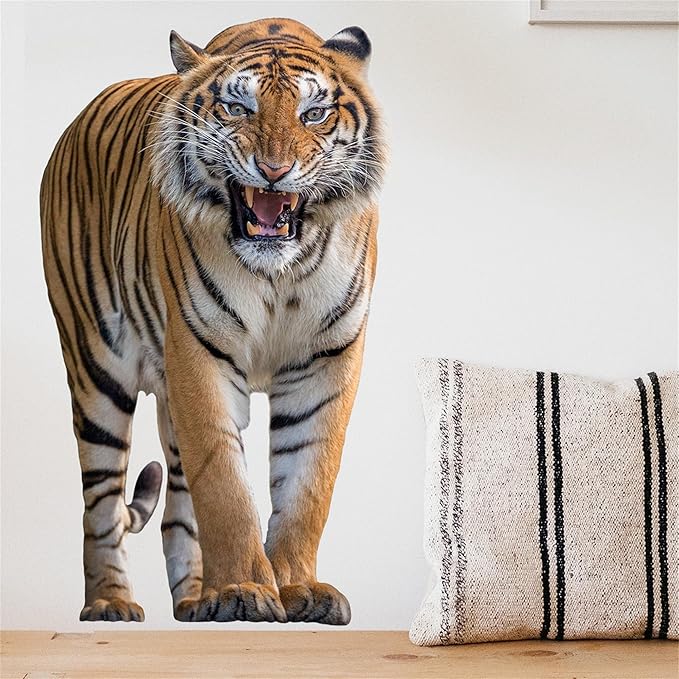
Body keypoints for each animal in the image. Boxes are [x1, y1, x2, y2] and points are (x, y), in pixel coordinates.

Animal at [40, 18, 385, 624]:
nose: (274, 171)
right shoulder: (199, 354)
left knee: (177, 508)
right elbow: (224, 487)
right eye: (237, 109)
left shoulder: (326, 362)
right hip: (95, 370)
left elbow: (307, 484)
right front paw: (245, 590)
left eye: (314, 114)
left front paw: (298, 588)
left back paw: (195, 600)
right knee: (101, 505)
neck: (281, 273)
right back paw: (111, 602)